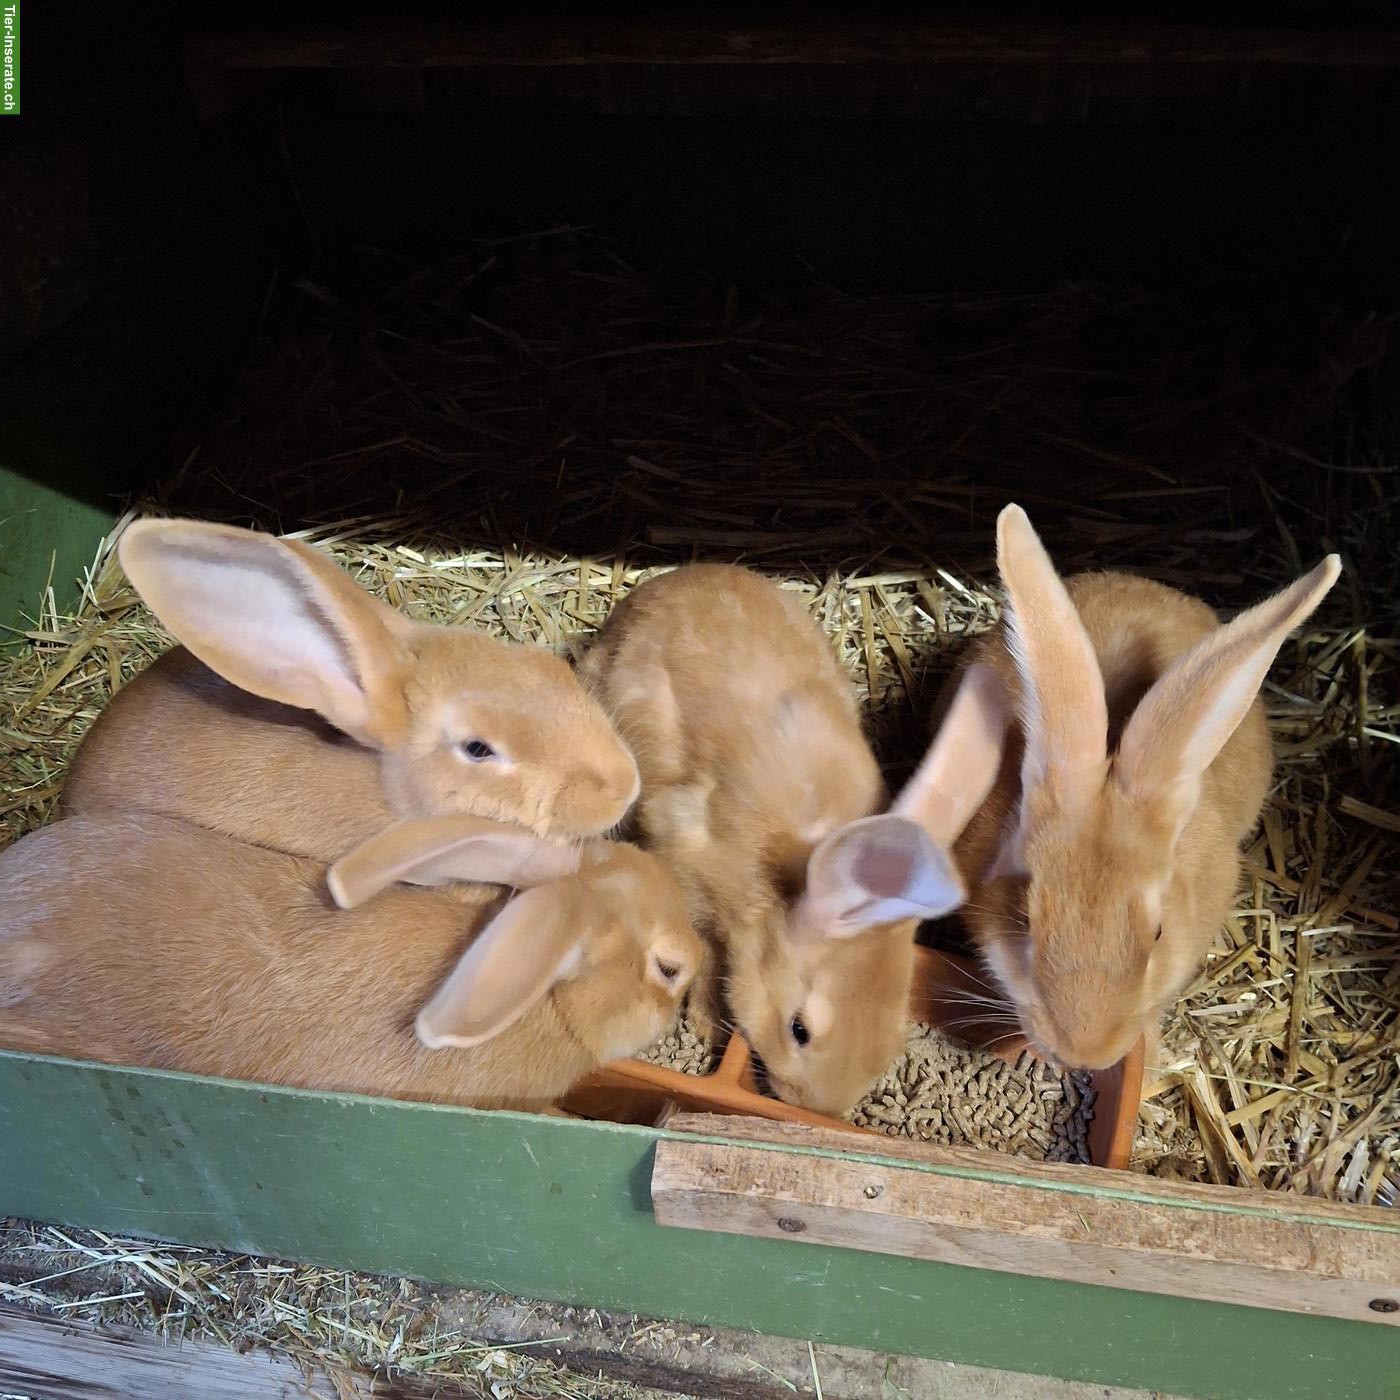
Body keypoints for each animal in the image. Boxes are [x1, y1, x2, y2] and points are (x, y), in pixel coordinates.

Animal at [580, 563, 1009, 1117]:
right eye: (799, 1030)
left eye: (893, 1037)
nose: (819, 1110)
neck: (790, 880)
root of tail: (656, 587)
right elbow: (707, 957)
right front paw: (707, 1023)